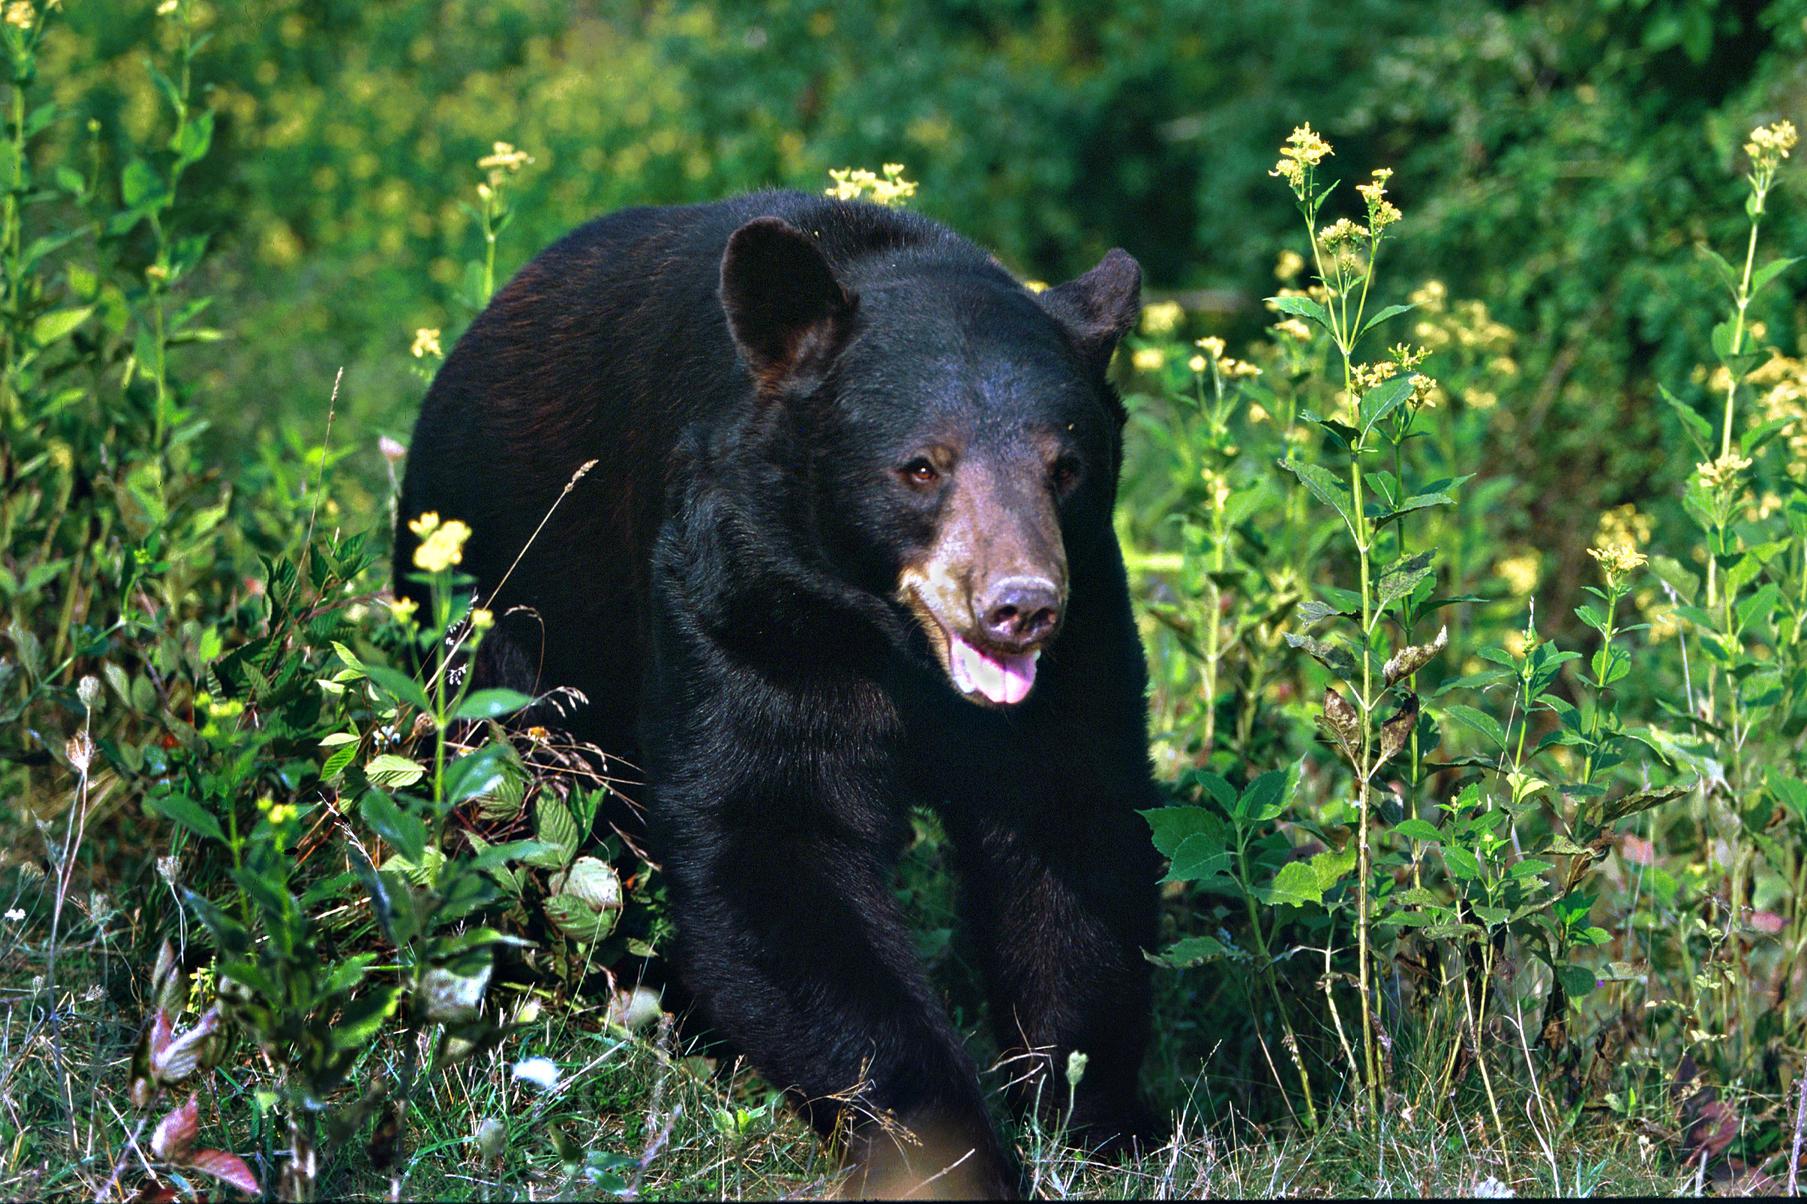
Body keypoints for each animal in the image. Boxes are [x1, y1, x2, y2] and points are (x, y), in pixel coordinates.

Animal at [395, 189, 1156, 1193]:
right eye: (920, 465)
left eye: (1064, 467)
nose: (1019, 606)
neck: (884, 639)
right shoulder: (738, 602)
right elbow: (769, 841)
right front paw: (949, 1153)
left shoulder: (1087, 622)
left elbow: (1071, 829)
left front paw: (1096, 1114)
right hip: (494, 617)